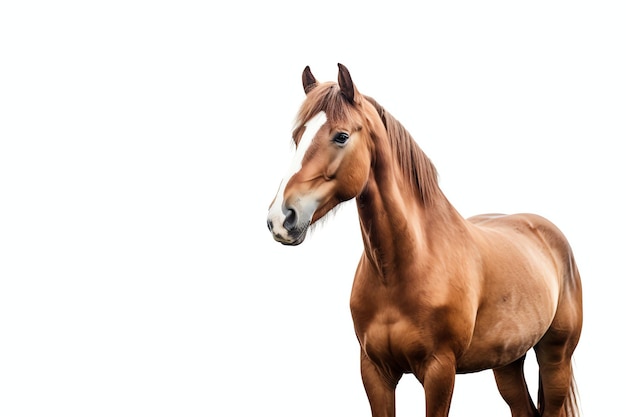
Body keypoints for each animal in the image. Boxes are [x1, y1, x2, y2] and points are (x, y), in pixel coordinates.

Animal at [264, 62, 580, 416]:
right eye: (297, 137)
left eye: (341, 136)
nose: (281, 218)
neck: (405, 265)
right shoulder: (375, 372)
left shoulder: (440, 371)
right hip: (508, 361)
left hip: (556, 357)